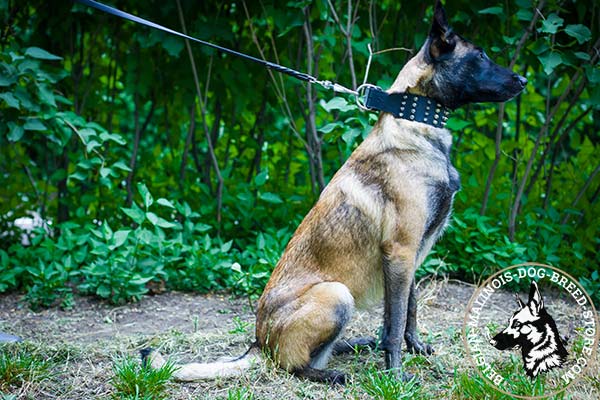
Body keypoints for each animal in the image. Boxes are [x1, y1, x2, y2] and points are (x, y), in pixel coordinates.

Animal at [144, 0, 524, 384]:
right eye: (480, 56)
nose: (523, 80)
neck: (416, 125)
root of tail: (258, 344)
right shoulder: (401, 249)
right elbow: (396, 320)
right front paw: (396, 374)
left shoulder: (410, 254)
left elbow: (407, 310)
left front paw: (414, 349)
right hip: (337, 295)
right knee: (291, 365)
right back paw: (330, 374)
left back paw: (356, 345)